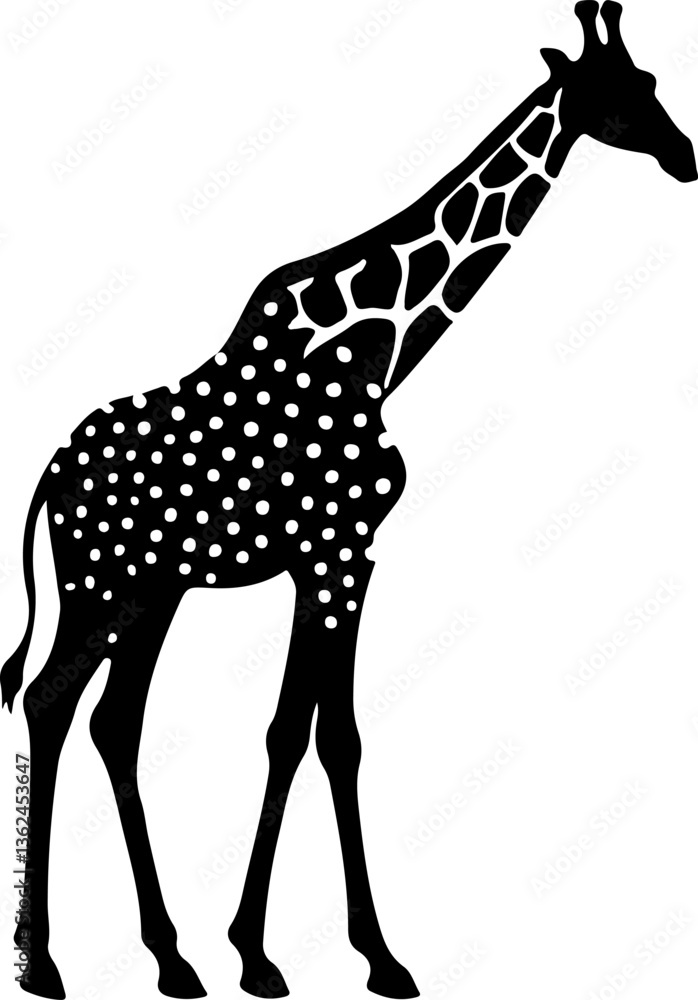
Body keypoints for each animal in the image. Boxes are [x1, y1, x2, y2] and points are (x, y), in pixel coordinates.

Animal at [2, 3, 695, 999]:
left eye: (652, 81)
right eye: (619, 92)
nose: (685, 156)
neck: (378, 356)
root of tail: (49, 475)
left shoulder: (329, 557)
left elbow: (301, 732)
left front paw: (259, 950)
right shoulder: (340, 551)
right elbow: (323, 736)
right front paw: (341, 956)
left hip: (150, 589)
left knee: (107, 721)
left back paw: (167, 958)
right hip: (100, 584)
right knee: (50, 701)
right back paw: (46, 963)